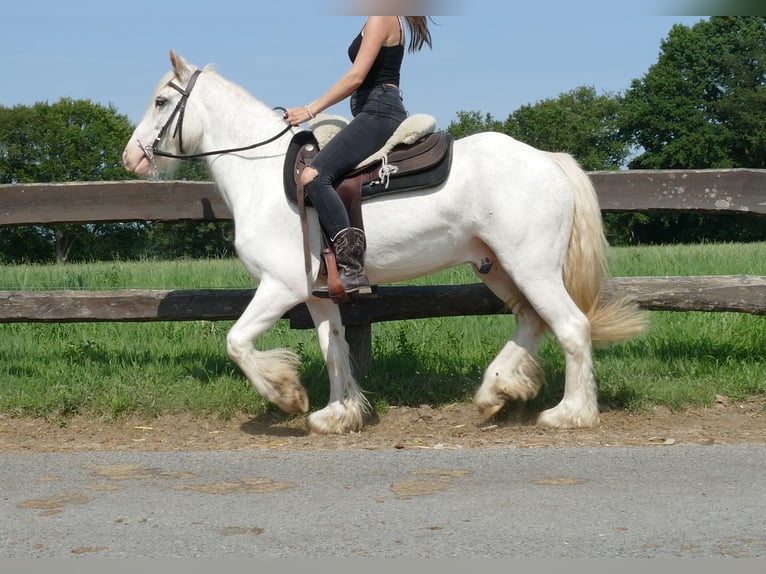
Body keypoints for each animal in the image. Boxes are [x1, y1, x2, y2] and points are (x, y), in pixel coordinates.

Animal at [124, 51, 648, 436]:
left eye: (160, 102)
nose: (132, 157)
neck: (264, 176)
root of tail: (548, 159)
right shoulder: (316, 294)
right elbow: (333, 349)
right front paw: (337, 414)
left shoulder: (279, 286)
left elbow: (236, 342)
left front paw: (287, 394)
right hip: (497, 266)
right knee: (531, 321)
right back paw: (495, 392)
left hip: (532, 267)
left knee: (571, 327)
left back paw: (570, 413)